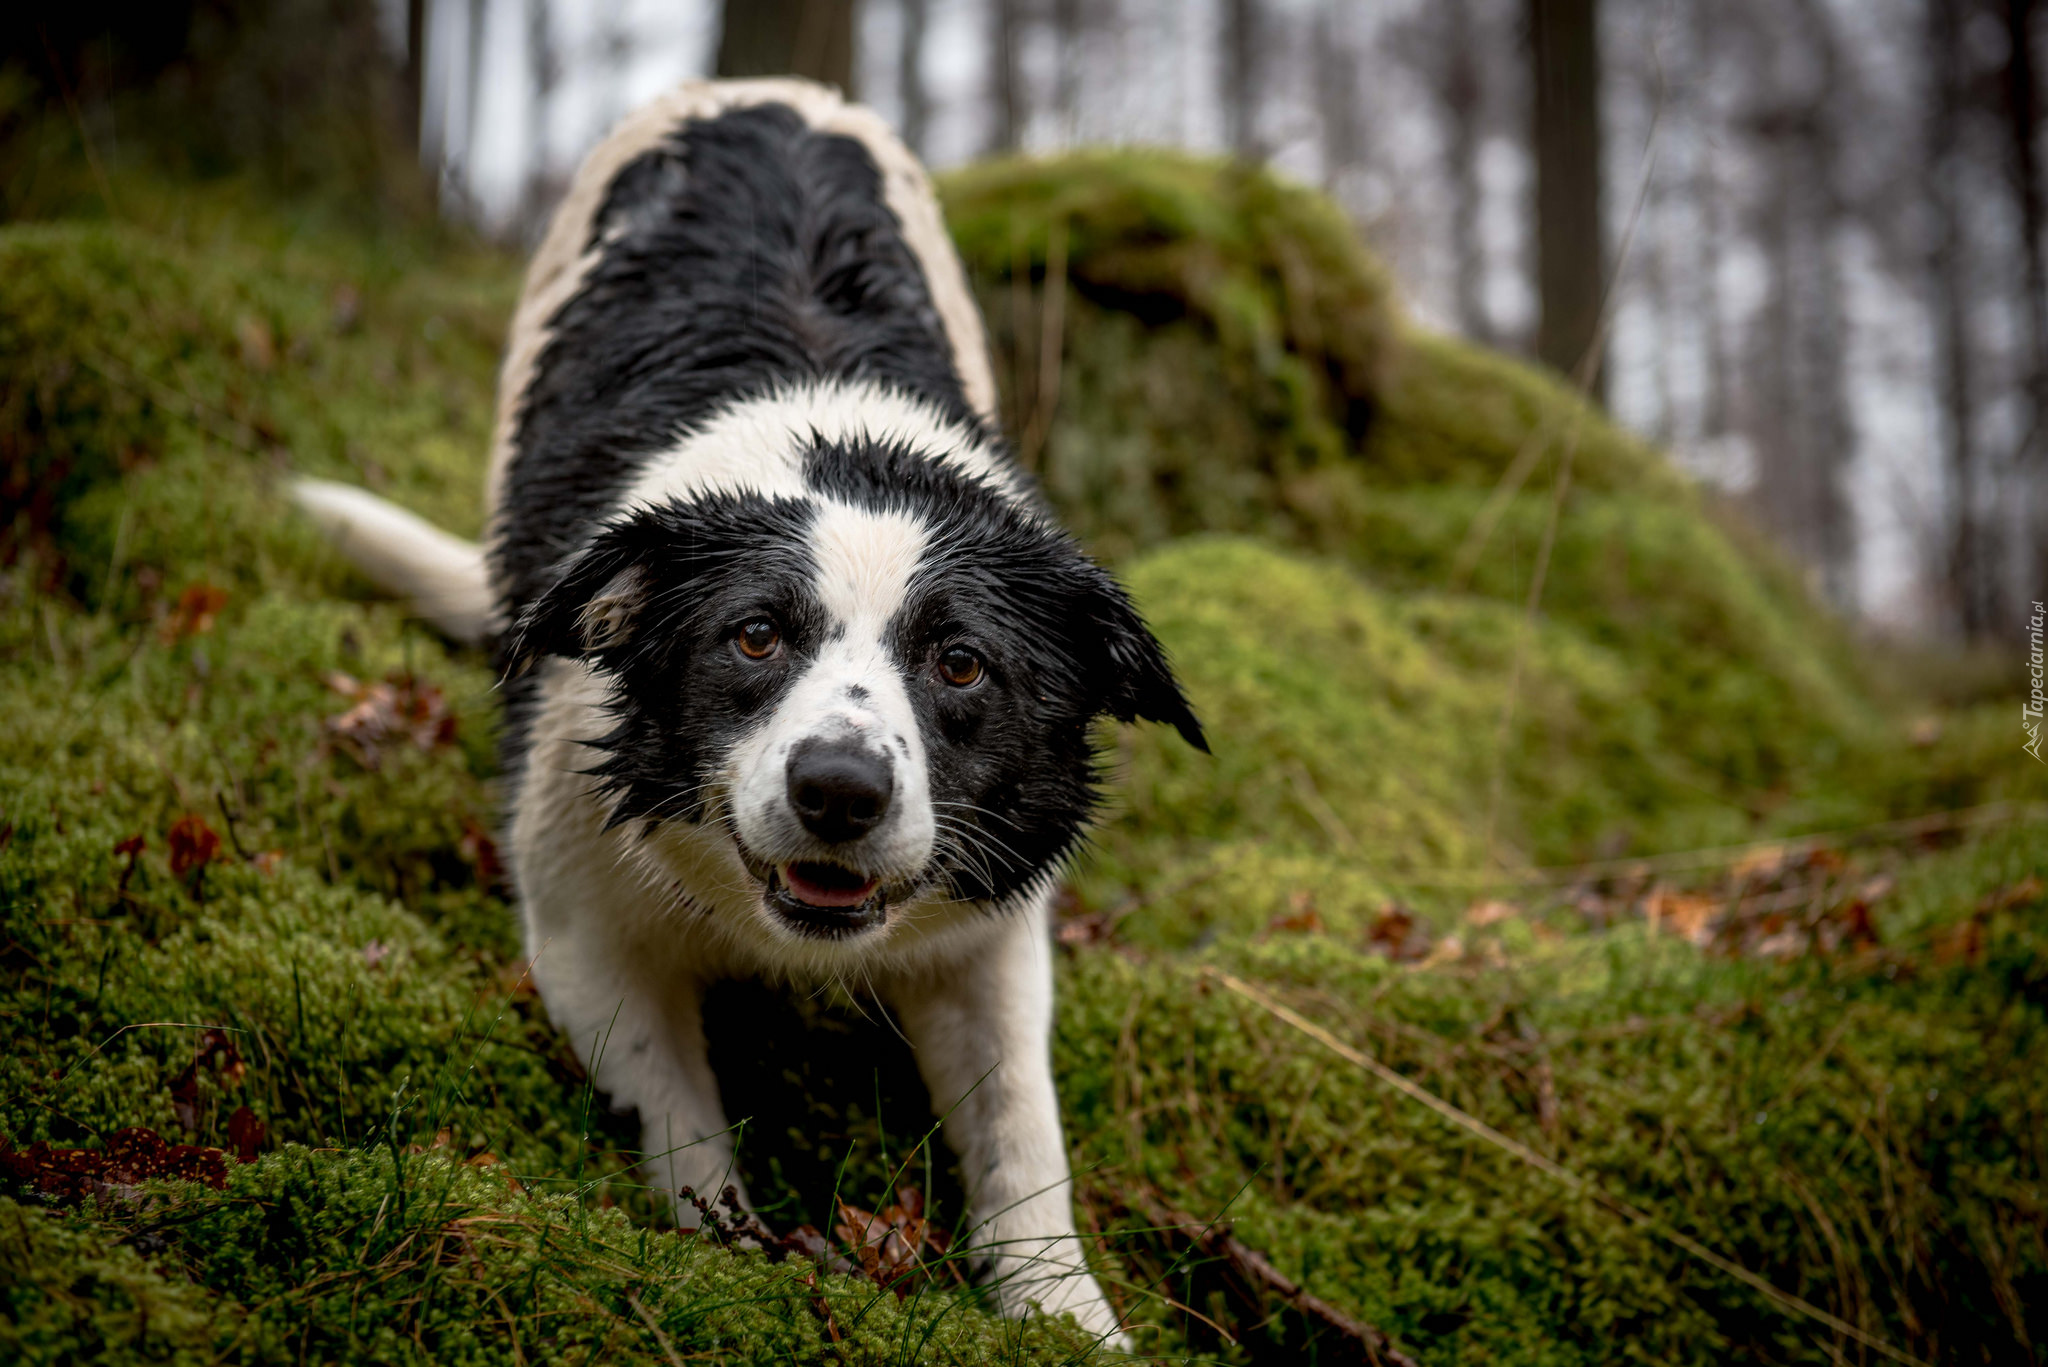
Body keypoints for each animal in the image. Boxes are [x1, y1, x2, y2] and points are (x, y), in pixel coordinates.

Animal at [299, 74, 1196, 1336]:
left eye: (960, 664)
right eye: (755, 635)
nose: (840, 790)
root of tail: (765, 89)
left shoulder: (988, 938)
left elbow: (1021, 1134)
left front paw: (1068, 1319)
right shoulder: (584, 919)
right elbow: (676, 1114)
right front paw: (726, 1255)